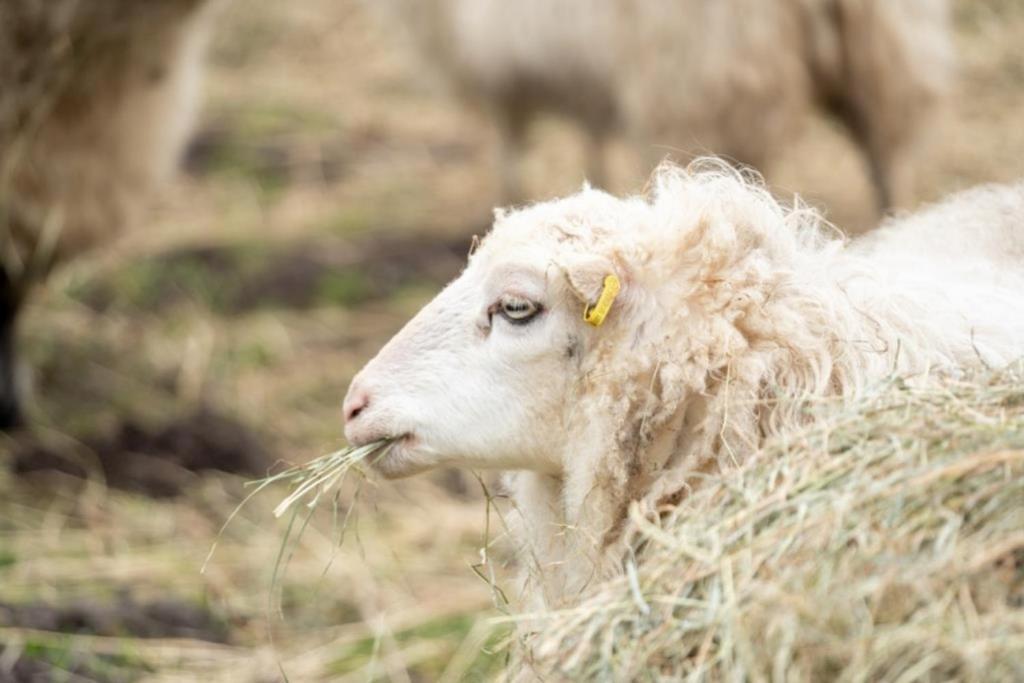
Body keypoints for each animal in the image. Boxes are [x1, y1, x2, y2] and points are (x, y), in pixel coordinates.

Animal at [382, 0, 950, 210]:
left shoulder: (501, 70)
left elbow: (510, 149)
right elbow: (591, 140)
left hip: (699, 81)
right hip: (887, 50)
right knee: (890, 160)